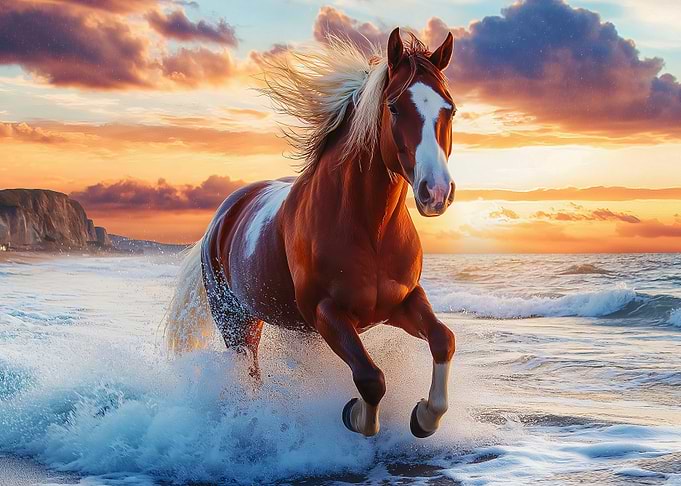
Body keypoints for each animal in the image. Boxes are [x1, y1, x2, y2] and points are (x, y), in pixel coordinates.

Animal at [166, 28, 457, 438]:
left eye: (450, 109)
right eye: (396, 107)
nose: (436, 191)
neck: (371, 230)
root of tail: (221, 218)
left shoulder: (402, 302)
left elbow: (443, 340)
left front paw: (425, 416)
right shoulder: (327, 313)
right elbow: (371, 378)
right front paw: (355, 415)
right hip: (237, 323)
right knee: (249, 375)